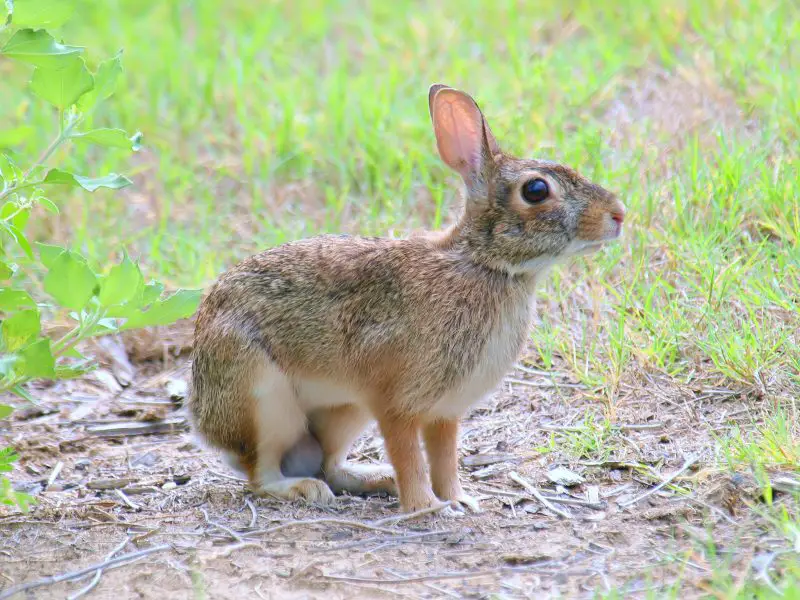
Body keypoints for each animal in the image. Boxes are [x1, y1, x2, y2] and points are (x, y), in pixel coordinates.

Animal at [188, 84, 626, 513]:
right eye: (536, 190)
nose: (619, 214)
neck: (483, 263)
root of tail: (205, 424)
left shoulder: (446, 410)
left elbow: (445, 458)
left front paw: (459, 499)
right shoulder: (394, 403)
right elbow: (409, 456)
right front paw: (425, 507)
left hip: (345, 411)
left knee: (330, 465)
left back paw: (376, 479)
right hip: (263, 400)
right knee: (262, 474)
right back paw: (304, 489)